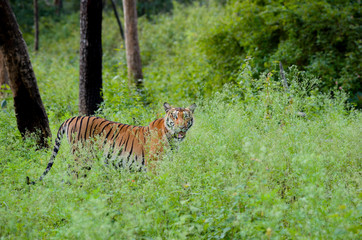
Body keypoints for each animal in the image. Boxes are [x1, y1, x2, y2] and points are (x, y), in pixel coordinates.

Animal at [27, 101, 197, 184]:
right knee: (72, 173)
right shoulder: (153, 165)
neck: (172, 137)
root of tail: (71, 118)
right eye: (174, 116)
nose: (181, 126)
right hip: (81, 156)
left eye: (186, 117)